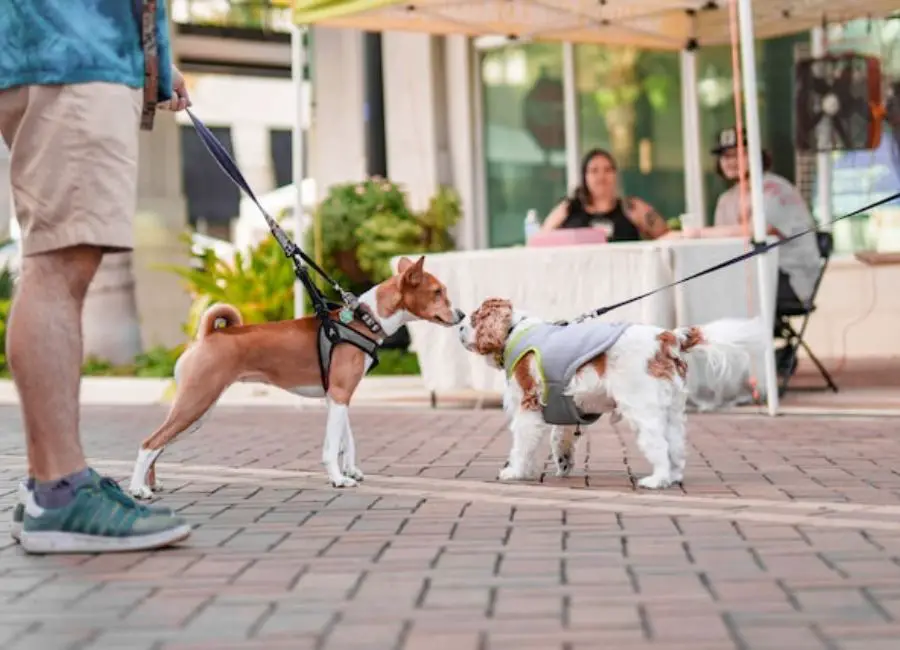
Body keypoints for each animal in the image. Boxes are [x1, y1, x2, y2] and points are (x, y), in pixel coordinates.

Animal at [128, 256, 464, 494]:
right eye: (438, 292)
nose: (461, 315)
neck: (362, 321)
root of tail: (207, 336)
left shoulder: (338, 396)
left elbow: (347, 440)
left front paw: (351, 471)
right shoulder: (339, 393)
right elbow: (332, 446)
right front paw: (338, 479)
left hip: (197, 410)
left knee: (159, 445)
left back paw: (151, 484)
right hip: (195, 403)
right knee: (149, 443)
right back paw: (137, 489)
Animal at [460, 298, 764, 486]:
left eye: (474, 319)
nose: (459, 324)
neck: (515, 330)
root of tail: (667, 337)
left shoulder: (528, 405)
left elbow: (522, 444)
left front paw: (515, 471)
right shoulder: (562, 406)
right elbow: (561, 440)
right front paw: (563, 465)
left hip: (643, 409)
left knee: (660, 445)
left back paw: (657, 481)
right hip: (672, 411)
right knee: (676, 446)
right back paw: (673, 477)